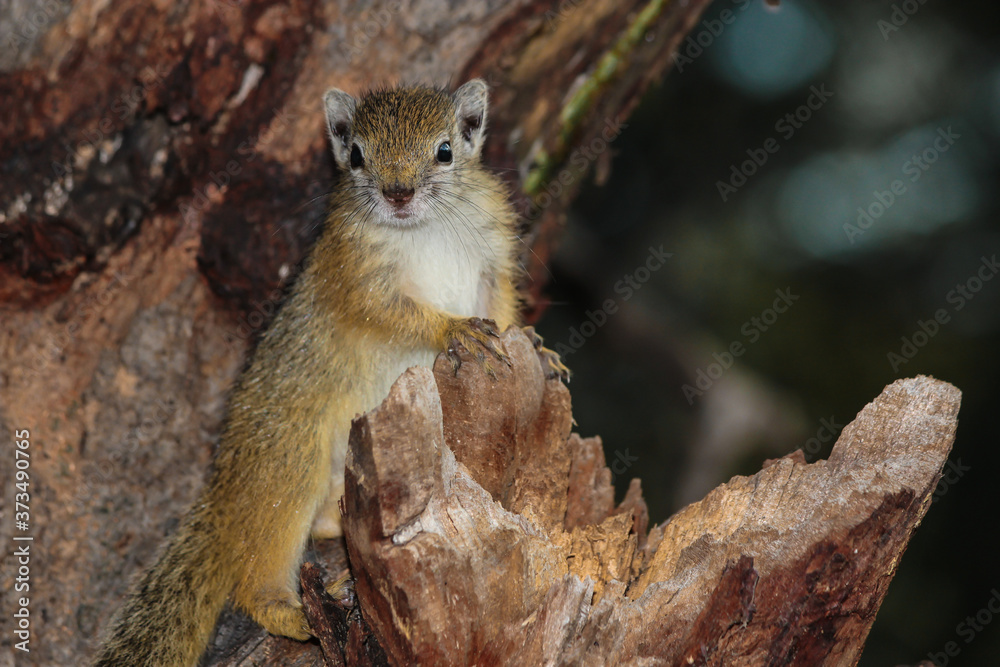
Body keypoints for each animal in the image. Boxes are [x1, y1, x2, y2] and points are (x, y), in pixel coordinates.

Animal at [93, 79, 569, 666]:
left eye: (445, 150)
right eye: (357, 154)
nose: (398, 193)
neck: (424, 230)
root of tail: (224, 492)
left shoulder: (492, 264)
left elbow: (503, 312)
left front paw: (538, 350)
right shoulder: (355, 278)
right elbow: (395, 315)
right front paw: (453, 329)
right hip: (292, 465)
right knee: (254, 583)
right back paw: (297, 616)